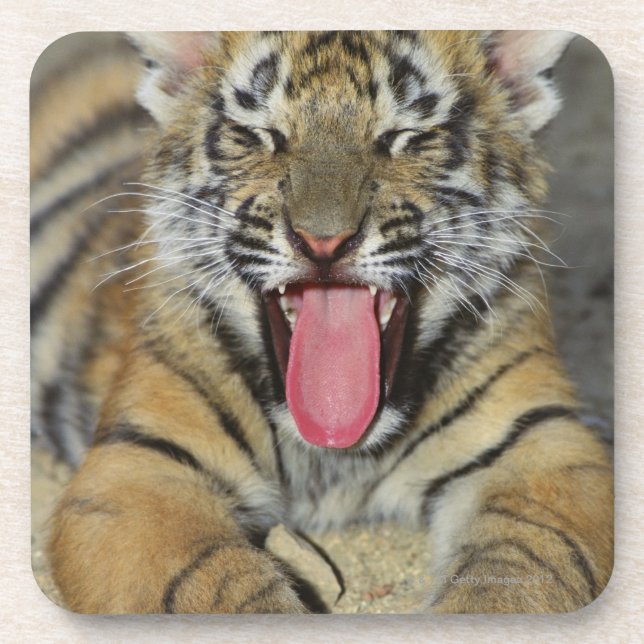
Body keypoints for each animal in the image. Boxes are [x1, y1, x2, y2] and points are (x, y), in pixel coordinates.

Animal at [31, 30, 613, 614]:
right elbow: (218, 589)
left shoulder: (544, 446)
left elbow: (520, 570)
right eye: (259, 134)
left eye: (404, 136)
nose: (323, 242)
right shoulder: (137, 469)